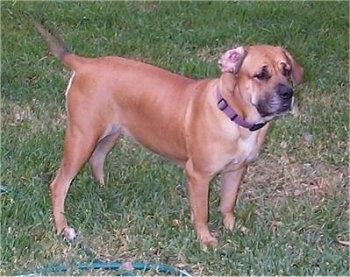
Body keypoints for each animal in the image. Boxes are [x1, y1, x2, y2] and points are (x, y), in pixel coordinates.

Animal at [36, 23, 304, 247]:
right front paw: (206, 240)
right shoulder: (198, 175)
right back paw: (63, 227)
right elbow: (202, 213)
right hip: (82, 138)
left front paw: (232, 228)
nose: (287, 93)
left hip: (109, 133)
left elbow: (228, 204)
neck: (235, 115)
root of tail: (84, 64)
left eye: (287, 70)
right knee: (59, 184)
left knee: (97, 159)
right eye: (261, 75)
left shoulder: (237, 170)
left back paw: (104, 189)